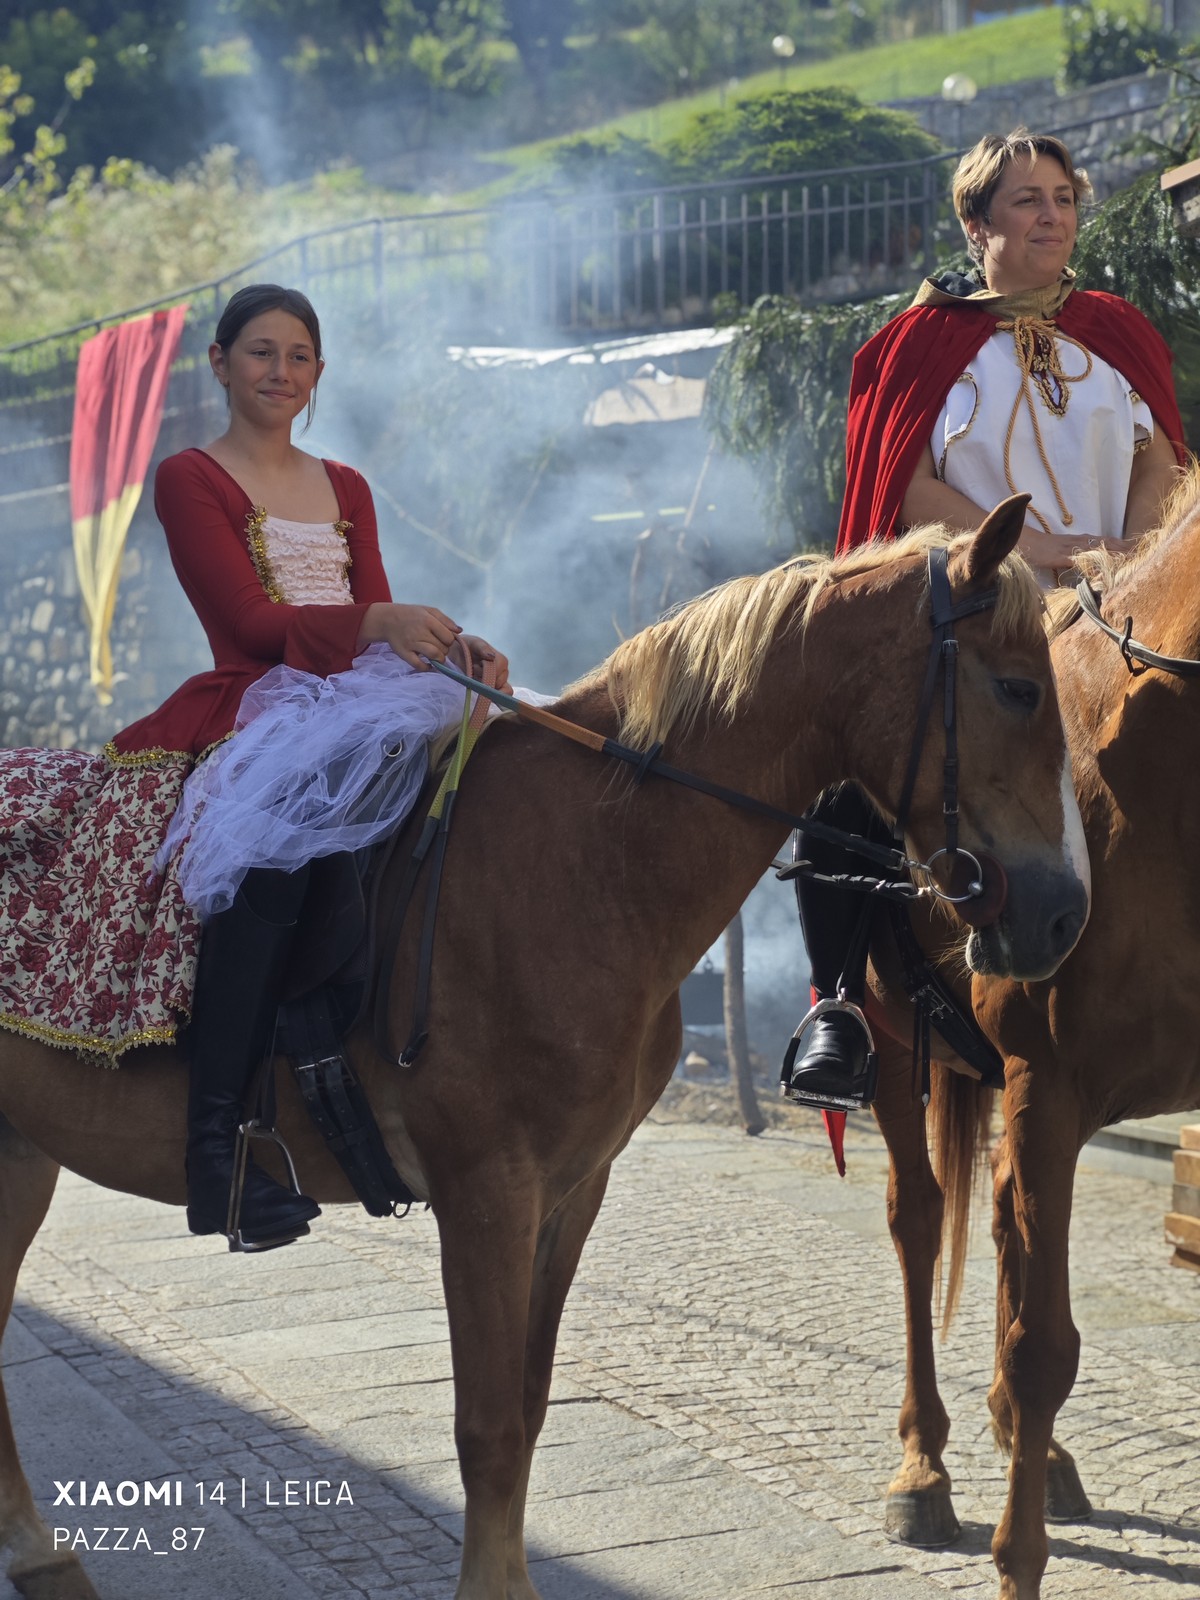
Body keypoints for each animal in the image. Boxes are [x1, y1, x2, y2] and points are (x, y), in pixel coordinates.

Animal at [0, 497, 1088, 1600]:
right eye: (1018, 687)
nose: (1061, 914)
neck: (589, 860)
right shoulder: (486, 1191)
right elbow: (484, 1425)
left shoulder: (569, 1190)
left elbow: (525, 1410)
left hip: (23, 1158)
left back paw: (40, 1552)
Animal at [861, 466, 1200, 1600]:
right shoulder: (1043, 1082)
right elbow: (1041, 1345)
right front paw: (1017, 1561)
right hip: (894, 1043)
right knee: (921, 1222)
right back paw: (923, 1465)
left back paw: (1032, 1449)